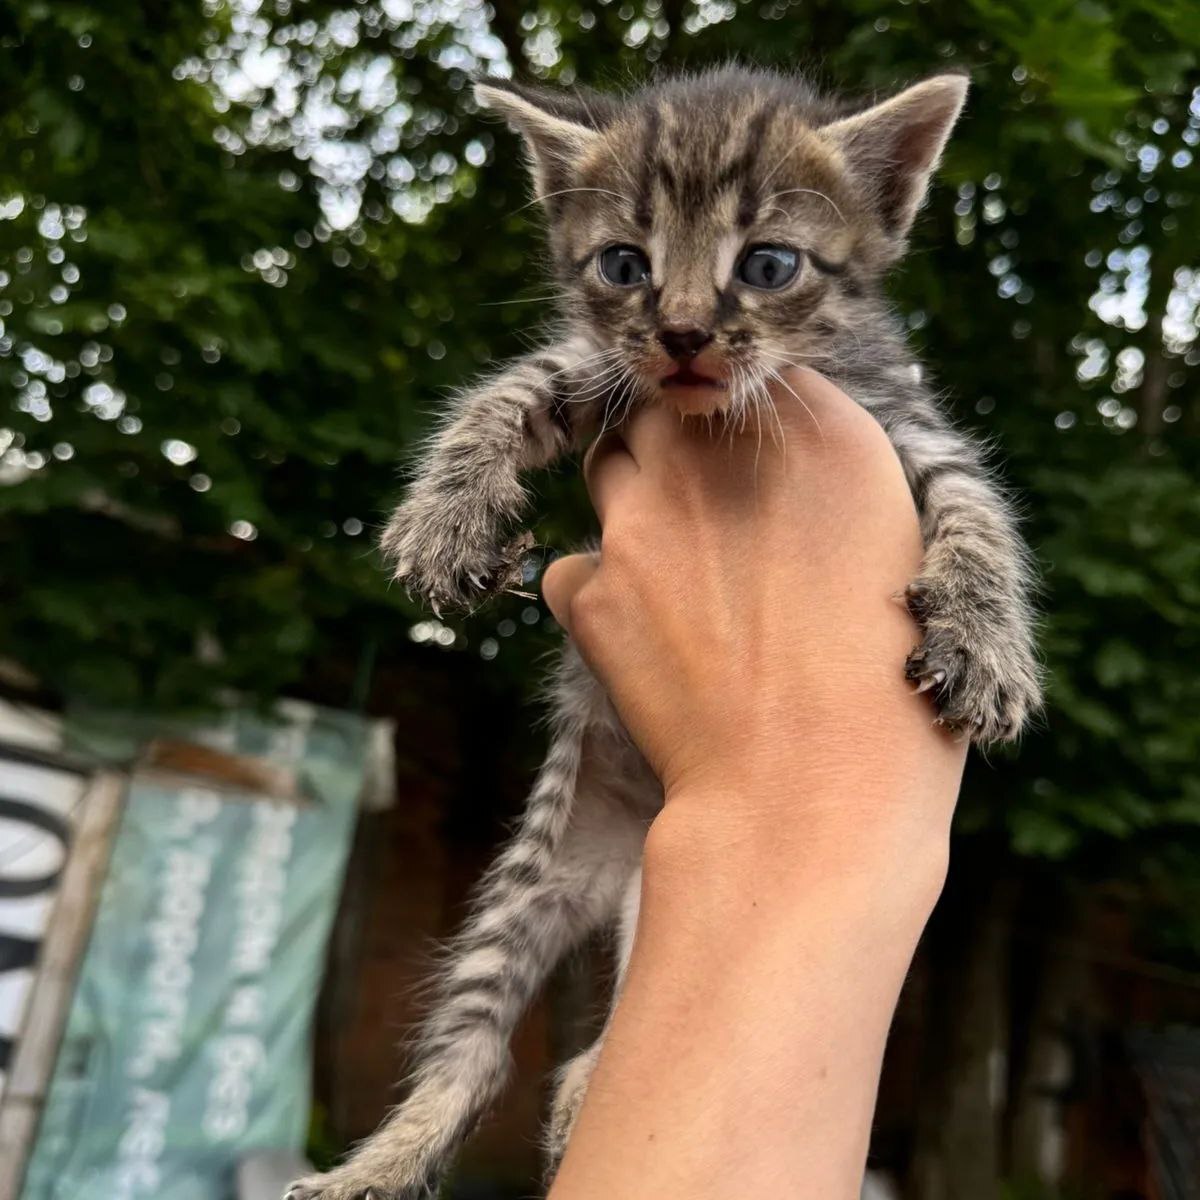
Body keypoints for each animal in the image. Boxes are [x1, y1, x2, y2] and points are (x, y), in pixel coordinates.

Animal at [288, 63, 1041, 1200]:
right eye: (624, 265)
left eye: (769, 264)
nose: (683, 332)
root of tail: (617, 863)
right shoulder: (591, 365)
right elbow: (509, 389)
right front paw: (443, 516)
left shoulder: (912, 429)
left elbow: (978, 513)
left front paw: (988, 646)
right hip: (525, 884)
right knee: (472, 1051)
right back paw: (379, 1163)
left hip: (658, 888)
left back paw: (572, 1094)